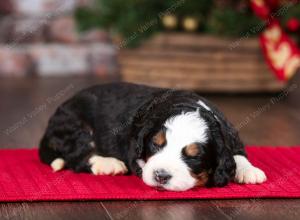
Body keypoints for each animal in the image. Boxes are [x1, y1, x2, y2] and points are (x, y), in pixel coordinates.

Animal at [38, 82, 266, 191]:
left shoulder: (229, 135)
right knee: (78, 154)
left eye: (194, 156)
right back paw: (108, 164)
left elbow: (237, 155)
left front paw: (249, 171)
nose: (161, 176)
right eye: (155, 145)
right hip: (74, 123)